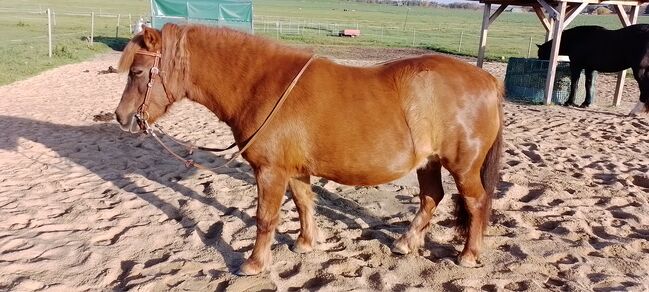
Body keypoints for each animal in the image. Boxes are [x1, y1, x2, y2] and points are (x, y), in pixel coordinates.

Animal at [114, 23, 504, 276]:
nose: (121, 117)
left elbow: (265, 218)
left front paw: (254, 264)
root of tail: (487, 79)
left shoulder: (270, 171)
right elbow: (303, 203)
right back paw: (406, 243)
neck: (263, 85)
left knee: (475, 202)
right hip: (429, 162)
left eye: (138, 72)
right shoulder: (295, 170)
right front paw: (304, 243)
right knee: (431, 197)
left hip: (463, 166)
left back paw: (469, 255)